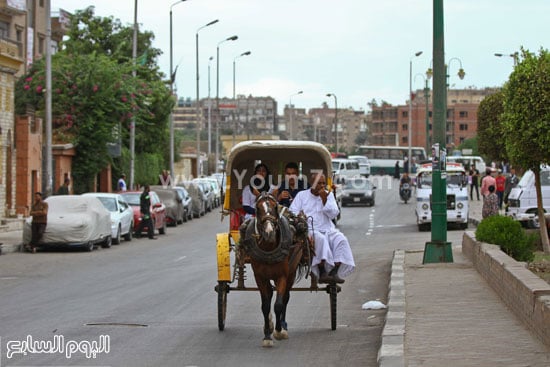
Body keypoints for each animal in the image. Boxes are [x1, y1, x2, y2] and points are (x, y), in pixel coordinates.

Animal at [240, 193, 312, 348]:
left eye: (274, 207)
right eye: (258, 208)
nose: (269, 232)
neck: (269, 248)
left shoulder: (282, 276)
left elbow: (278, 304)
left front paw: (278, 331)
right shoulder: (260, 277)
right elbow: (265, 306)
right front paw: (267, 335)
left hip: (291, 273)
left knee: (285, 298)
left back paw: (283, 326)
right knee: (270, 295)